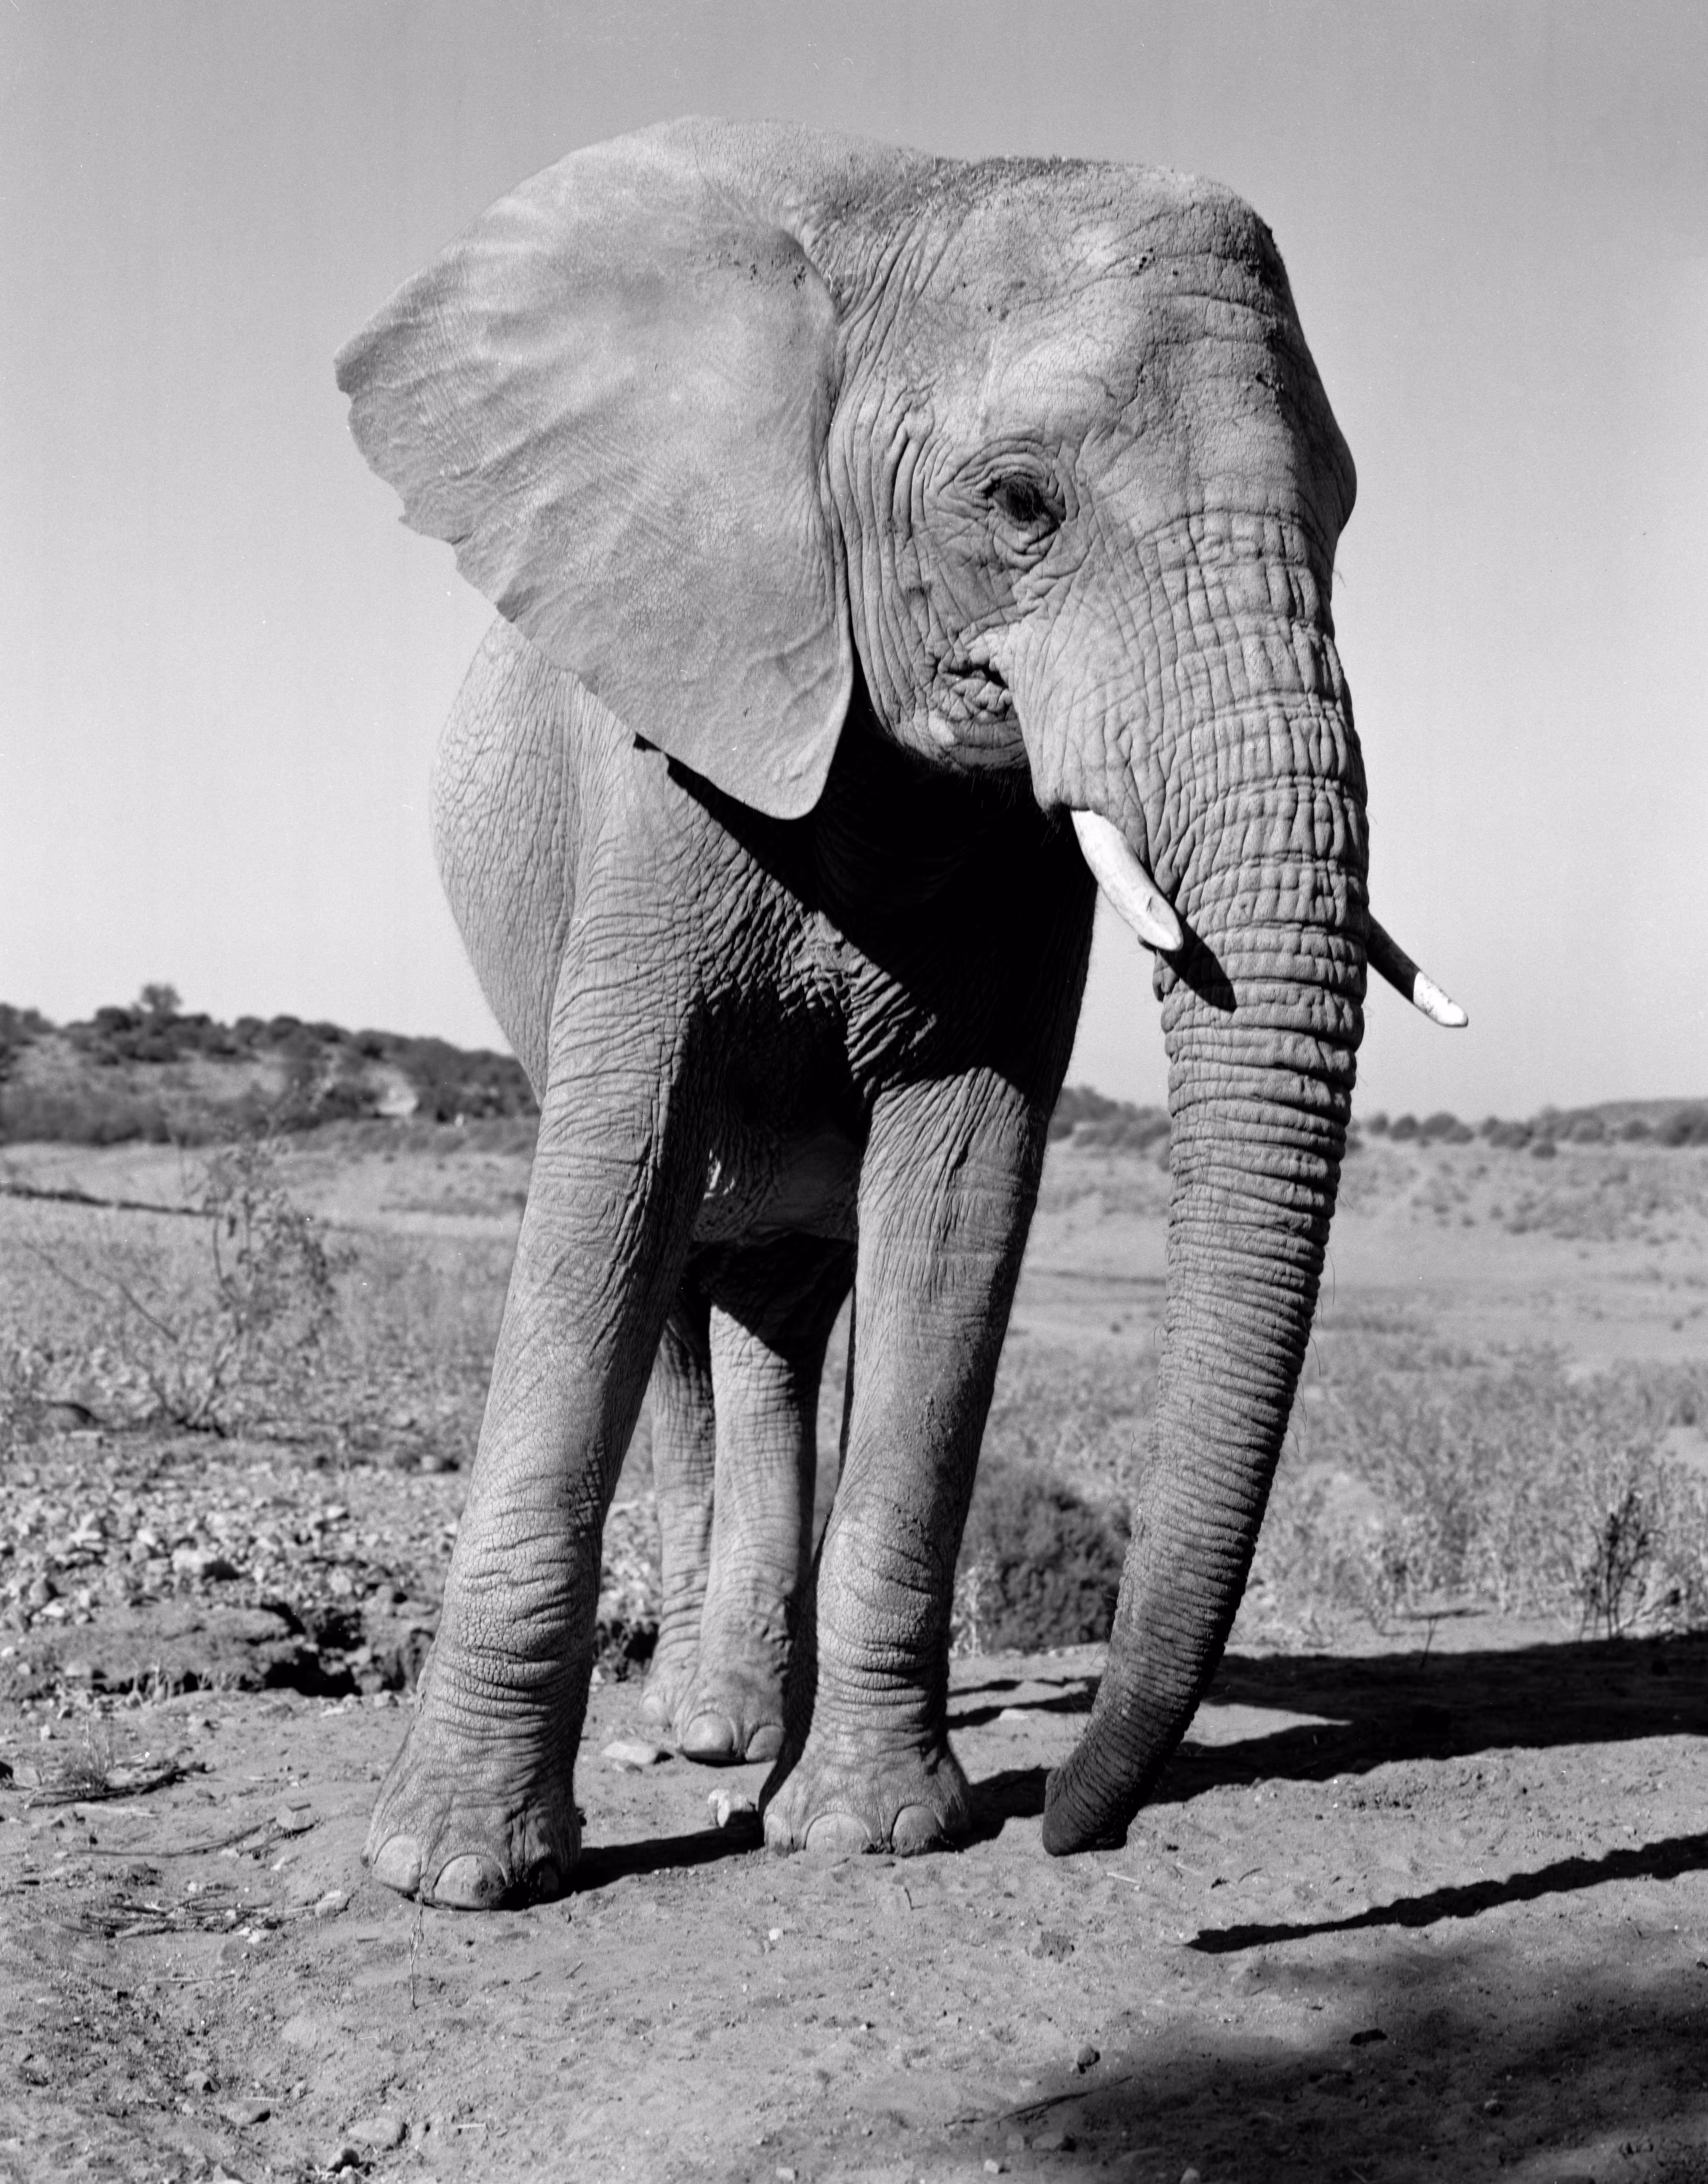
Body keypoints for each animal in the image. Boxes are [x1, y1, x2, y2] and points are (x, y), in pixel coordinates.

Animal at [335, 117, 1463, 1909]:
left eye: (1345, 513)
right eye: (1021, 504)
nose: (1073, 1817)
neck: (909, 201)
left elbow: (956, 1196)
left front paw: (873, 1833)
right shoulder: (673, 749)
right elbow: (615, 1175)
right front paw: (449, 1873)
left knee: (783, 1318)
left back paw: (752, 1735)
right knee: (679, 1305)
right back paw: (699, 1741)